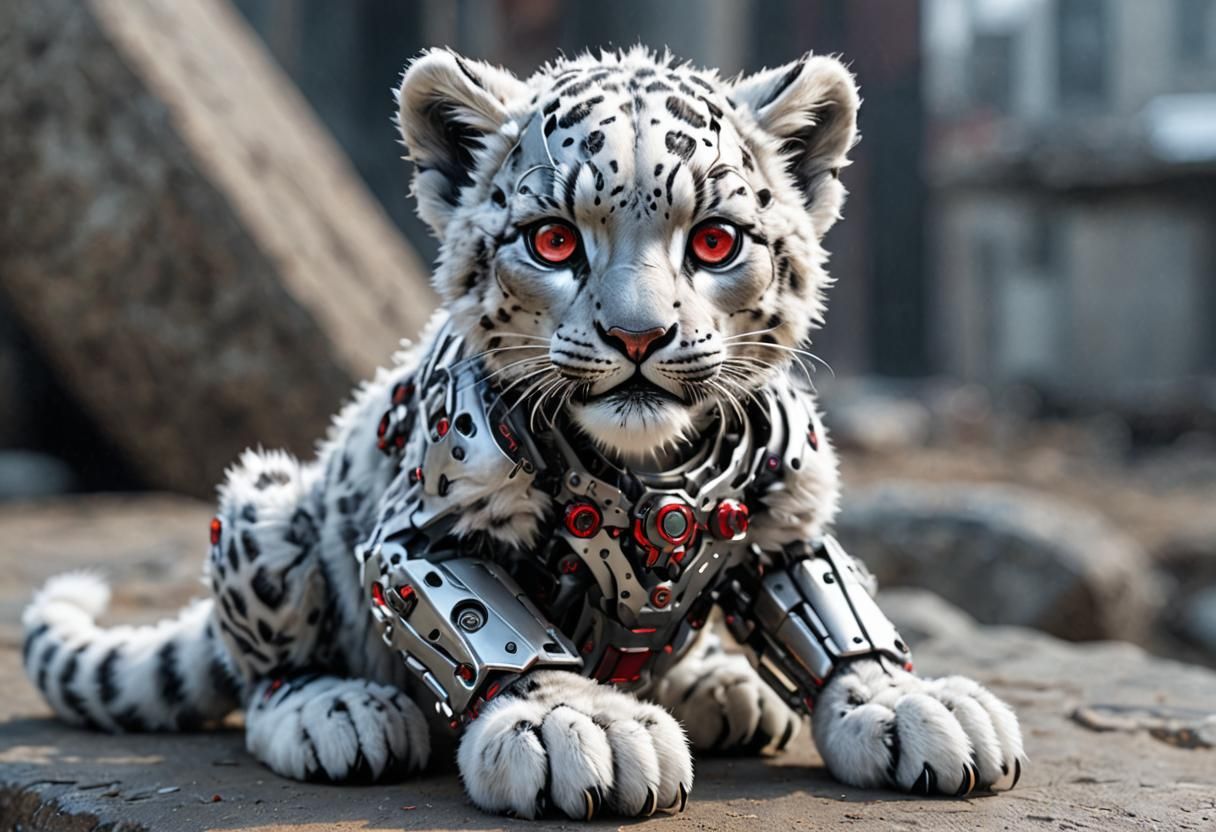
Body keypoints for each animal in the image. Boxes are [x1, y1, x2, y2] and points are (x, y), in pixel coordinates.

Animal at [23, 46, 1024, 821]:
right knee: (265, 662)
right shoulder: (423, 530)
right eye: (553, 242)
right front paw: (579, 727)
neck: (649, 473)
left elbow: (836, 610)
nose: (637, 336)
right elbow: (488, 623)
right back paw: (336, 712)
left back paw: (725, 691)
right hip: (263, 508)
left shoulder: (789, 514)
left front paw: (919, 707)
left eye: (714, 241)